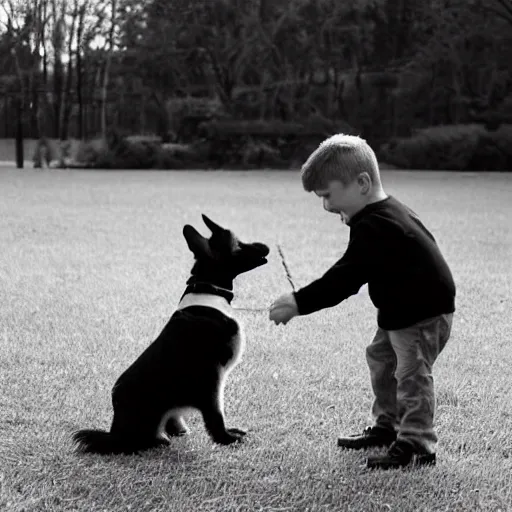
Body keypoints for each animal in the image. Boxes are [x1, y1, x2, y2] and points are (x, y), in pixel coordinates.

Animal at [73, 214, 270, 454]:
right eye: (239, 245)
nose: (267, 246)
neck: (207, 288)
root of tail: (115, 432)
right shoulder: (211, 380)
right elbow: (215, 416)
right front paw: (226, 438)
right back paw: (159, 439)